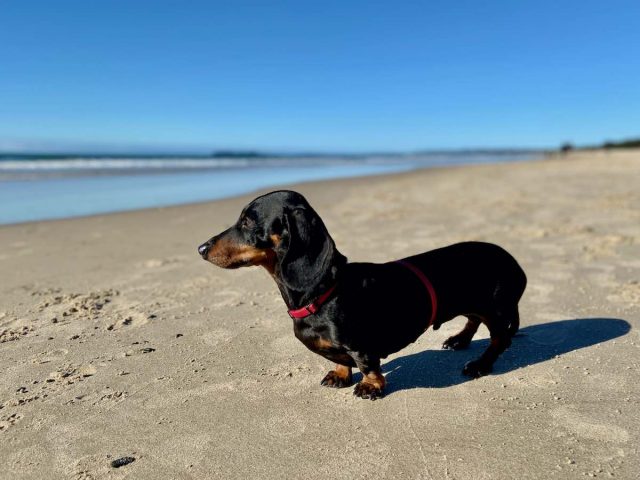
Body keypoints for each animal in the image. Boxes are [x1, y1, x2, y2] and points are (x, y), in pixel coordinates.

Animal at [198, 189, 528, 400]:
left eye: (247, 221)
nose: (201, 248)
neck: (325, 291)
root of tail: (515, 263)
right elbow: (342, 361)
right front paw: (340, 374)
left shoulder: (361, 345)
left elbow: (367, 364)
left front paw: (371, 386)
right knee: (473, 320)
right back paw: (459, 339)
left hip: (495, 308)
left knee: (500, 339)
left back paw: (480, 365)